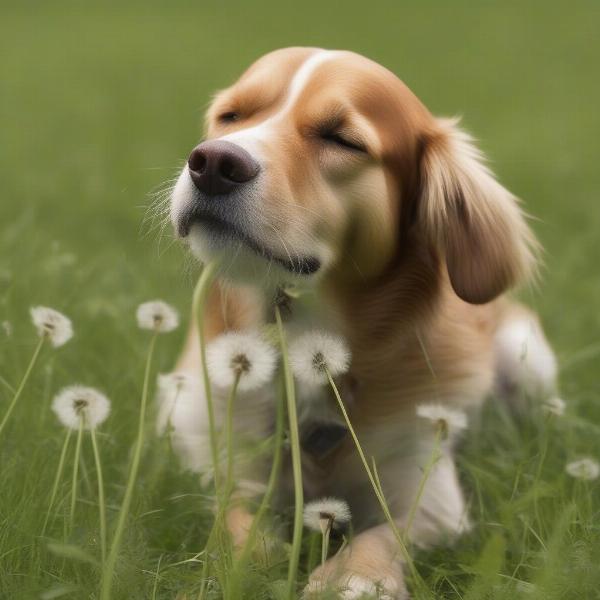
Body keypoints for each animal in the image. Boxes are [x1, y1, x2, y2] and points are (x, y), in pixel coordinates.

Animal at [164, 48, 556, 600]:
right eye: (232, 116)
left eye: (341, 139)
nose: (213, 163)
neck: (306, 338)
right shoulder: (234, 464)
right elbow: (238, 525)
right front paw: (241, 566)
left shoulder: (428, 490)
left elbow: (382, 534)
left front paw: (354, 576)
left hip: (529, 360)